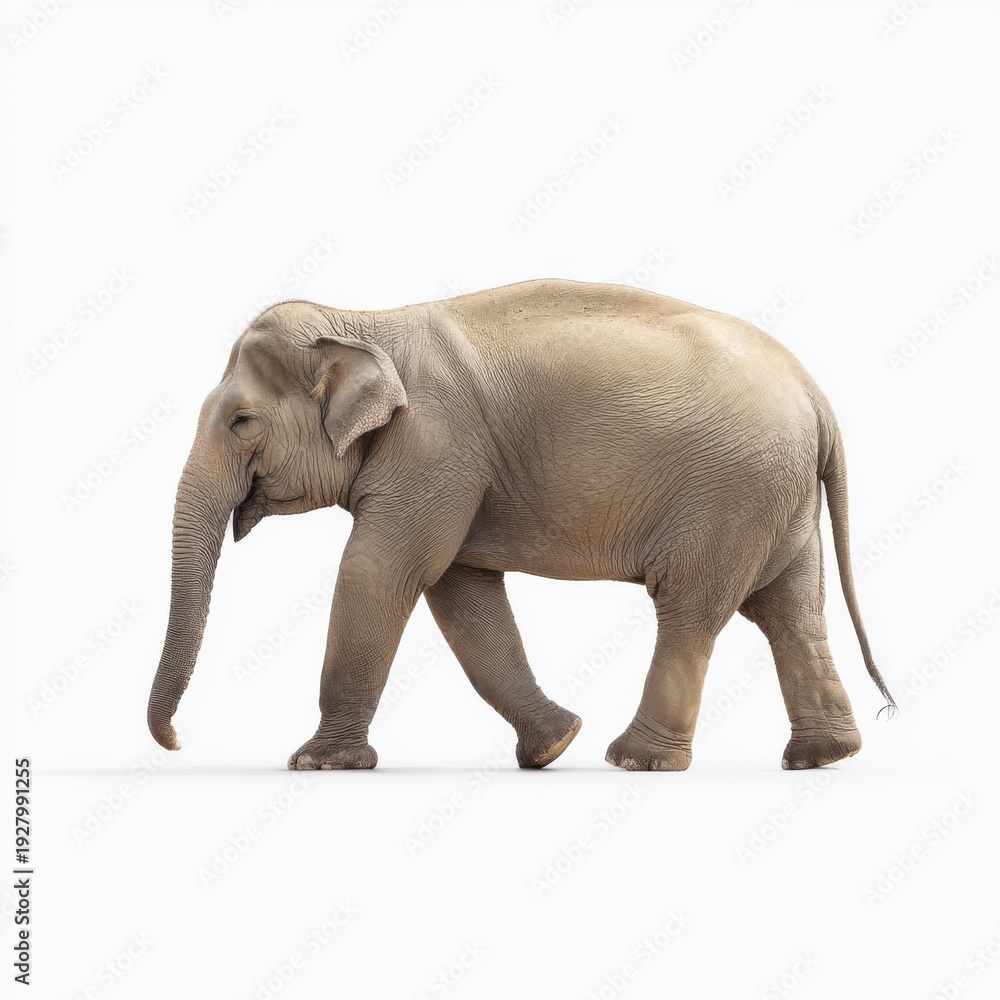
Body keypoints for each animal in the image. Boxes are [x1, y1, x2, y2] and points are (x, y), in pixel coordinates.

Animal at [147, 278, 895, 771]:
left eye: (241, 420)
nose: (181, 742)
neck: (363, 322)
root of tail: (817, 399)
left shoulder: (436, 448)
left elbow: (380, 571)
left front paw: (317, 764)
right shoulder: (450, 468)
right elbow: (461, 591)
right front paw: (552, 746)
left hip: (731, 492)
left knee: (690, 609)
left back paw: (635, 760)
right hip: (777, 499)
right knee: (791, 612)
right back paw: (823, 757)